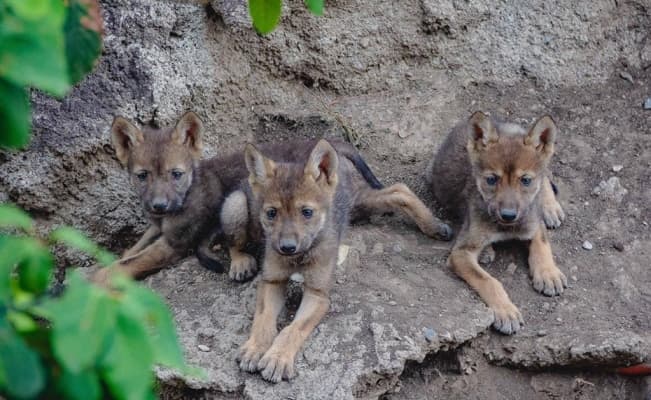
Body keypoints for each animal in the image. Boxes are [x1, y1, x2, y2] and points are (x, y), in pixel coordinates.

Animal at [235, 139, 452, 383]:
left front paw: (278, 357)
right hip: (356, 205)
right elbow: (263, 319)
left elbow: (293, 329)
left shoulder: (318, 294)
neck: (301, 256)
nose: (287, 248)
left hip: (356, 201)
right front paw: (255, 347)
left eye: (307, 212)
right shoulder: (272, 281)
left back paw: (434, 226)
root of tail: (335, 142)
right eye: (271, 213)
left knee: (399, 190)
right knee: (397, 189)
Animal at [427, 111, 567, 335]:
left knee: (546, 173)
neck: (506, 227)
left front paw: (548, 273)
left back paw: (550, 207)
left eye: (525, 180)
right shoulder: (461, 252)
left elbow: (542, 244)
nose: (508, 215)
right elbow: (489, 281)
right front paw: (506, 311)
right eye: (492, 179)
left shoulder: (531, 220)